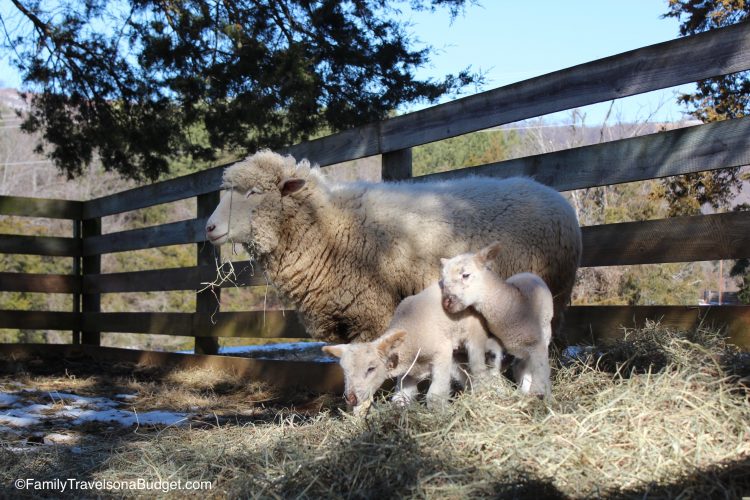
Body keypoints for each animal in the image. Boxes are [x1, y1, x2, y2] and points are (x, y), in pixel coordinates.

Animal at [322, 282, 494, 414]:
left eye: (371, 368)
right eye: (344, 370)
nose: (350, 398)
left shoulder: (442, 352)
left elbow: (435, 395)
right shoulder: (408, 374)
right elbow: (400, 399)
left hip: (474, 335)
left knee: (478, 369)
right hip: (456, 354)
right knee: (466, 373)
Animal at [438, 242, 556, 398]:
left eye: (465, 275)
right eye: (443, 280)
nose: (446, 303)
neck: (512, 306)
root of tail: (526, 274)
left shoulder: (538, 347)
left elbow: (541, 377)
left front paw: (542, 398)